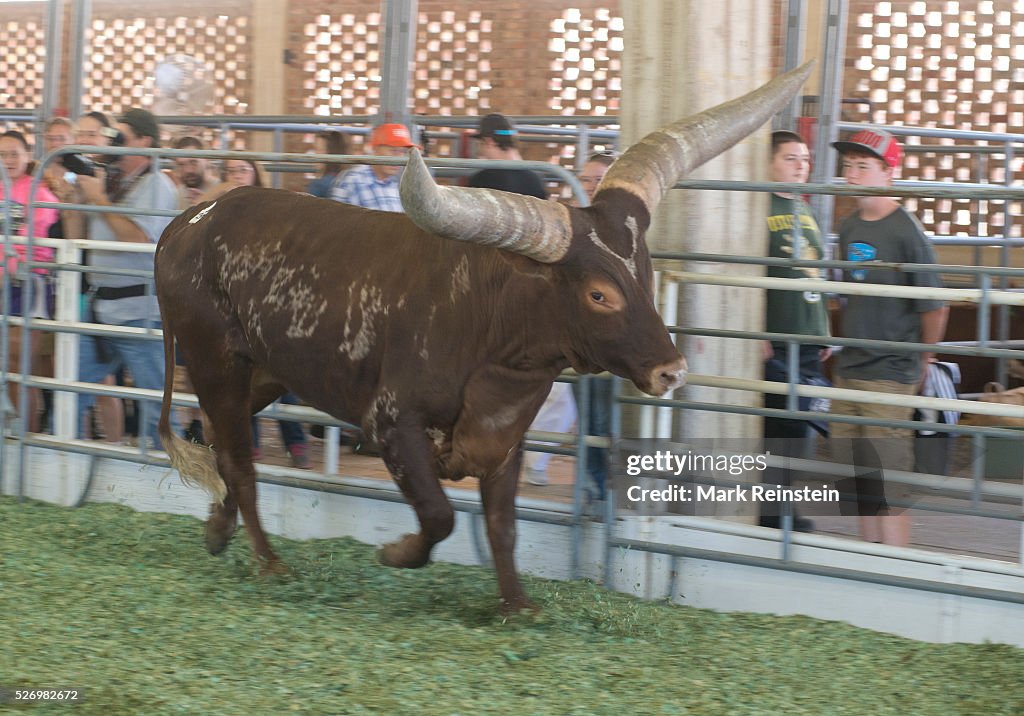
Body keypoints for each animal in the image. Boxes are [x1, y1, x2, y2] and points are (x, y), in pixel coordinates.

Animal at [153, 62, 806, 610]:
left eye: (643, 274)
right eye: (599, 294)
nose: (672, 370)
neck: (493, 331)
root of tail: (187, 223)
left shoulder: (507, 441)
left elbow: (502, 527)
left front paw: (516, 606)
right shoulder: (392, 425)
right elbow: (440, 515)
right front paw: (398, 553)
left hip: (262, 374)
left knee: (222, 438)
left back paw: (218, 530)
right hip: (216, 362)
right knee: (239, 460)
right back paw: (268, 562)